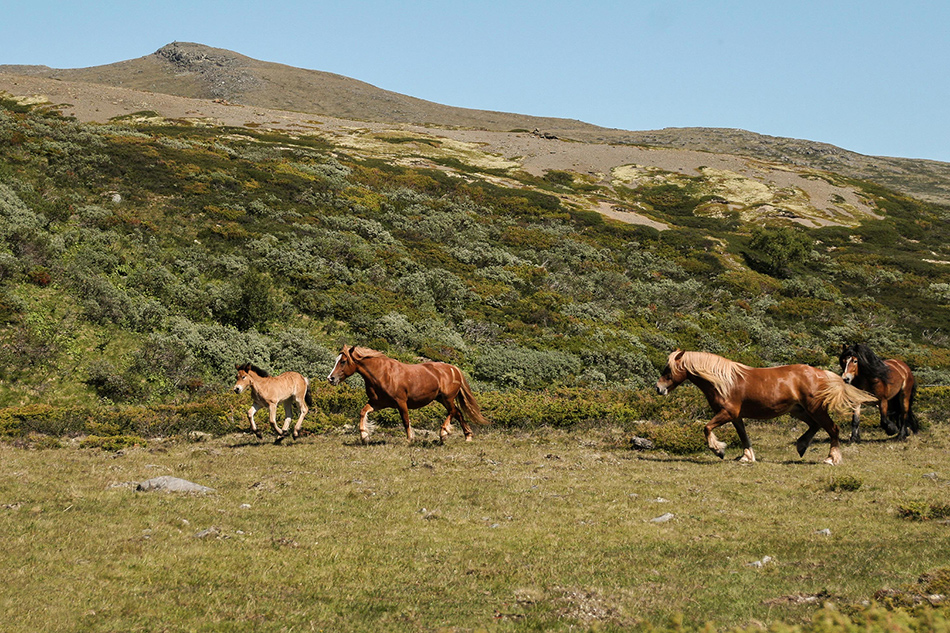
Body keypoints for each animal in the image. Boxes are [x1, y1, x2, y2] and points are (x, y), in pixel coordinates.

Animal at [328, 346, 490, 444]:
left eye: (343, 361)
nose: (331, 378)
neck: (382, 374)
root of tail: (454, 368)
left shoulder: (401, 402)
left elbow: (405, 421)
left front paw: (410, 438)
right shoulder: (378, 403)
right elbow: (363, 412)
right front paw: (364, 436)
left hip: (447, 398)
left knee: (453, 412)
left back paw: (444, 433)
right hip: (442, 399)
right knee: (458, 413)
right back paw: (467, 436)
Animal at [656, 350, 876, 464]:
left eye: (669, 369)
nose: (659, 388)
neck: (724, 381)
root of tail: (822, 373)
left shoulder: (728, 413)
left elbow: (707, 427)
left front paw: (719, 450)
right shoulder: (735, 416)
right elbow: (743, 436)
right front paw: (746, 457)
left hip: (816, 409)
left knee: (833, 429)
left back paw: (831, 458)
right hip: (799, 411)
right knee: (815, 426)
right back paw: (801, 446)